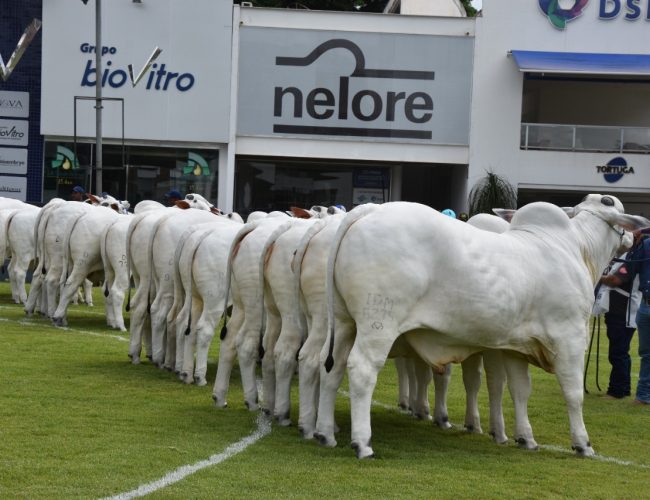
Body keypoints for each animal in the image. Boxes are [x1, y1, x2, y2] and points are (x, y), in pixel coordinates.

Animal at [316, 194, 644, 458]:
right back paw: (362, 443)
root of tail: (369, 209)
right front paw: (583, 444)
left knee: (330, 366)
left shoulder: (517, 347)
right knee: (361, 369)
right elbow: (574, 393)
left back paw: (325, 433)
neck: (576, 248)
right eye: (613, 205)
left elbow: (519, 390)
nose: (634, 238)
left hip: (344, 323)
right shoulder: (570, 338)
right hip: (378, 324)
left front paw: (526, 438)